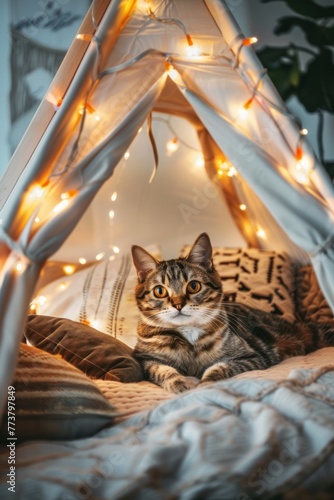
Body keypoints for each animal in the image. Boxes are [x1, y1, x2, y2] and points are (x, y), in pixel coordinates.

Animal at [132, 232, 332, 392]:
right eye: (159, 291)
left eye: (194, 286)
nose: (178, 305)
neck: (189, 334)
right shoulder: (145, 359)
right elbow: (163, 370)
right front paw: (179, 382)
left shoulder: (252, 356)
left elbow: (219, 367)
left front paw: (205, 383)